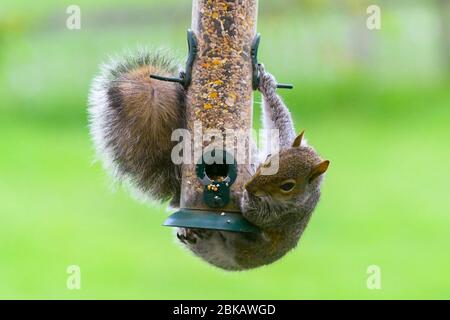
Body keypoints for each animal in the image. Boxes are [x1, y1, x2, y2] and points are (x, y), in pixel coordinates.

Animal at [88, 49, 328, 270]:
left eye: (288, 186)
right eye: (269, 158)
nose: (249, 186)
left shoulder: (286, 217)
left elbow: (255, 214)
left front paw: (246, 195)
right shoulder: (284, 141)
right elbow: (279, 121)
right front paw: (267, 84)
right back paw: (191, 230)